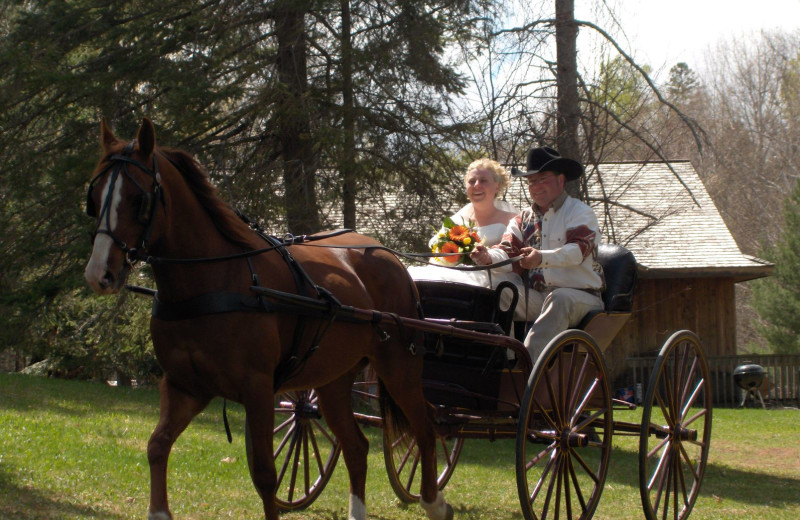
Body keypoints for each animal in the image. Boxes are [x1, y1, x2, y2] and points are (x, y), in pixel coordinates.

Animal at [84, 119, 454, 520]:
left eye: (139, 201)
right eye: (94, 198)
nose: (99, 273)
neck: (214, 279)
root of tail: (389, 257)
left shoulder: (257, 389)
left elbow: (264, 473)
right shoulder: (185, 386)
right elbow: (157, 445)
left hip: (399, 367)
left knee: (426, 428)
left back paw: (434, 501)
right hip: (333, 381)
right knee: (357, 446)